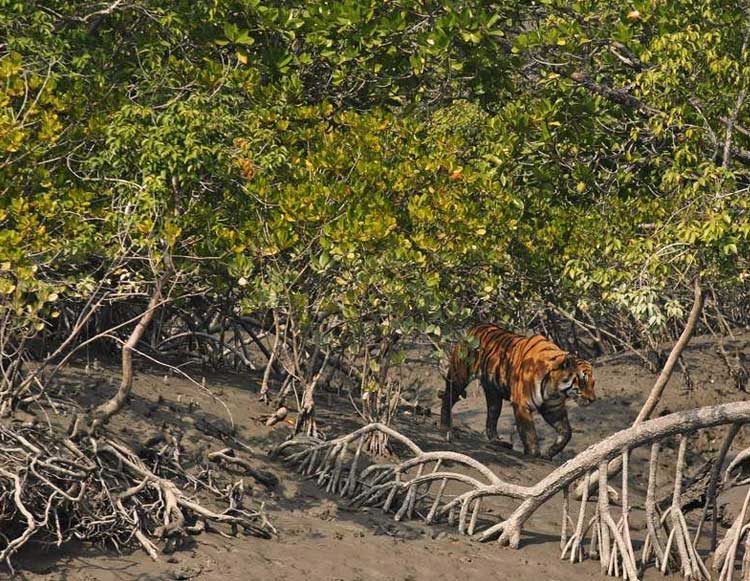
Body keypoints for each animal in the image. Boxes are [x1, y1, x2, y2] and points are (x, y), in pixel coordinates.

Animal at [440, 322, 600, 458]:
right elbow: (529, 432)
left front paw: (550, 452)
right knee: (448, 397)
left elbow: (567, 432)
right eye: (583, 381)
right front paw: (533, 453)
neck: (555, 389)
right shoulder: (522, 404)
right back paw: (444, 427)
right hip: (459, 376)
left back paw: (498, 441)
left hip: (493, 394)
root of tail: (474, 327)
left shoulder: (553, 408)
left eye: (593, 383)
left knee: (492, 416)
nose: (593, 400)